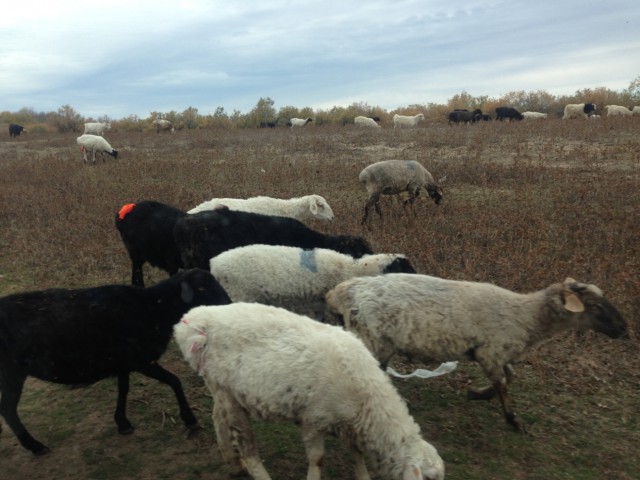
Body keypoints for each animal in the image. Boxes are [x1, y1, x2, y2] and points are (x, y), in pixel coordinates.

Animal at [0, 268, 232, 456]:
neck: (154, 309)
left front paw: (122, 422)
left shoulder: (123, 362)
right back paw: (35, 446)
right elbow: (174, 381)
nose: (229, 305)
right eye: (201, 286)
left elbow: (124, 389)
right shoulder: (140, 360)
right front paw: (190, 419)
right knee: (8, 409)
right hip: (11, 371)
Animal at [174, 304, 444, 480]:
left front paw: (363, 475)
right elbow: (318, 459)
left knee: (217, 417)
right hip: (228, 393)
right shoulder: (314, 420)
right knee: (247, 446)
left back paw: (232, 464)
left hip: (221, 389)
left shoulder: (348, 423)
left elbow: (356, 452)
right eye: (429, 479)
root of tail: (192, 322)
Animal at [328, 274, 628, 436]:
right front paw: (513, 421)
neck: (527, 316)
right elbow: (503, 384)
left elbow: (510, 377)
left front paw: (477, 394)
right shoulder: (490, 353)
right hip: (373, 339)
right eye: (594, 306)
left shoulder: (497, 354)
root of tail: (343, 291)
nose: (624, 329)